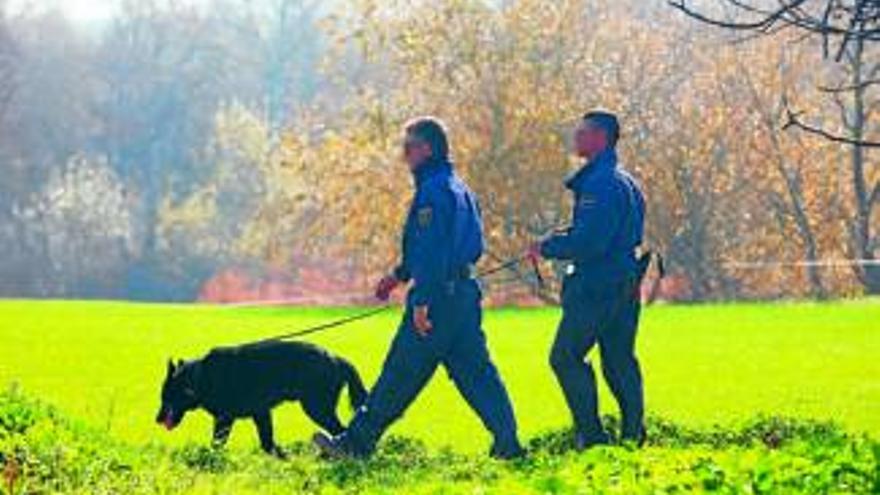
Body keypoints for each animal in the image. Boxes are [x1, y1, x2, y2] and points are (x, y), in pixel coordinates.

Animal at [156, 340, 366, 458]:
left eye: (166, 398)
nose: (157, 420)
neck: (200, 377)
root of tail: (337, 358)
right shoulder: (261, 414)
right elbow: (267, 442)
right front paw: (282, 457)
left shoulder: (225, 419)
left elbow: (217, 443)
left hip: (317, 409)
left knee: (341, 430)